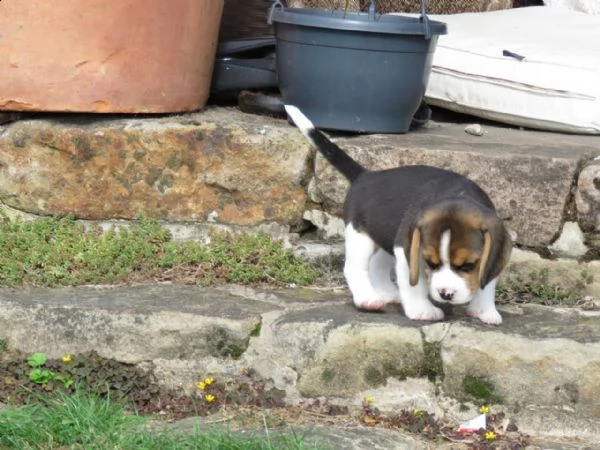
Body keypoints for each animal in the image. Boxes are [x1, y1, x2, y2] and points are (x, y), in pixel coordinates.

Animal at [284, 104, 510, 324]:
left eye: (469, 265)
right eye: (431, 263)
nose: (445, 294)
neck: (458, 194)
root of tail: (366, 175)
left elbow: (487, 281)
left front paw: (484, 310)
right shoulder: (406, 248)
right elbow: (414, 284)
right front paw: (422, 310)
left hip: (384, 235)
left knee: (376, 265)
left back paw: (386, 293)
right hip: (359, 235)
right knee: (354, 268)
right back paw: (367, 299)